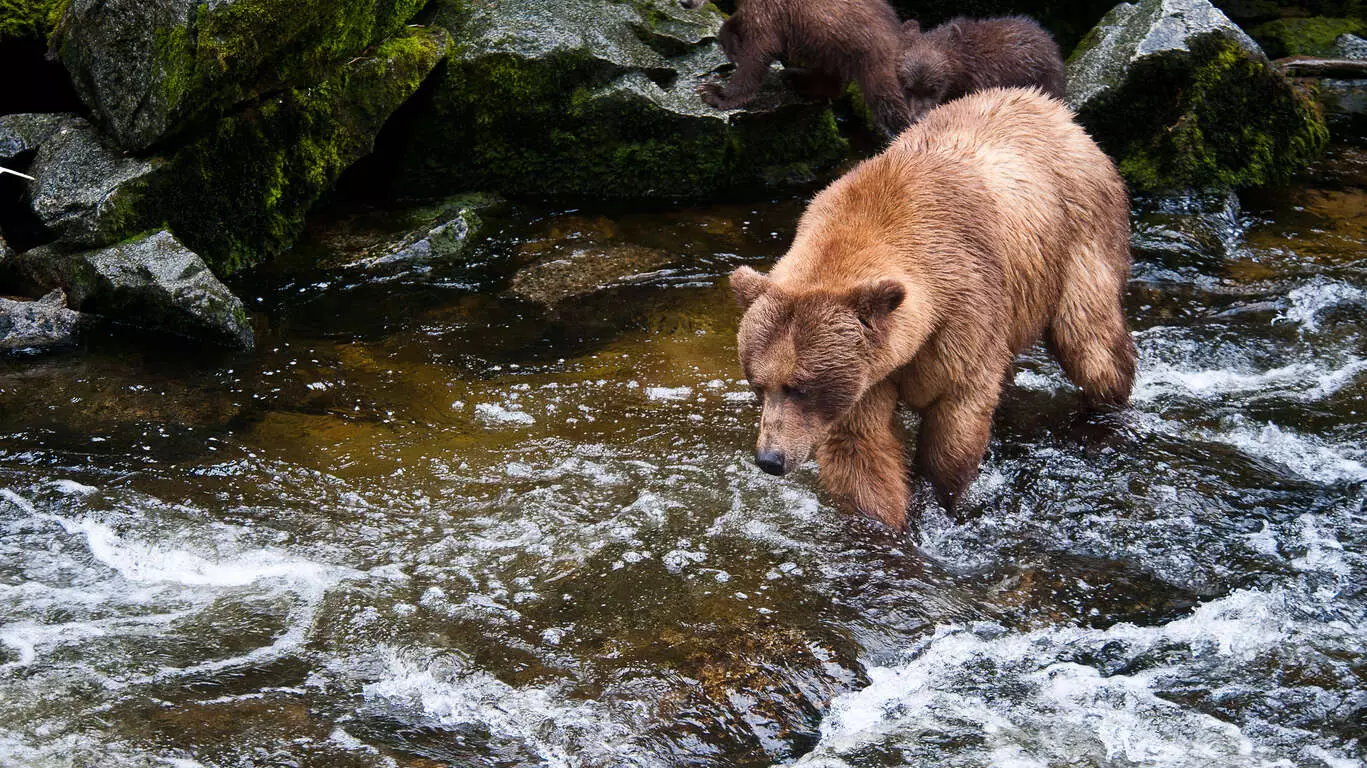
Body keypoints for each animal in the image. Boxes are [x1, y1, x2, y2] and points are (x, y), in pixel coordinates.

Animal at [680, 0, 913, 135]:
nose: (684, 2)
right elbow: (735, 24)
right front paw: (732, 46)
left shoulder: (770, 12)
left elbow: (758, 53)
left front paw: (714, 93)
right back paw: (795, 77)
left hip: (872, 55)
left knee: (889, 100)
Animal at [732, 86, 1137, 530]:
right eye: (758, 383)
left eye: (801, 387)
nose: (770, 458)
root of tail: (1055, 110)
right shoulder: (871, 370)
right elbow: (862, 449)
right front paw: (885, 523)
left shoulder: (961, 312)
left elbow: (955, 419)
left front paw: (935, 503)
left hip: (1082, 239)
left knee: (1091, 343)